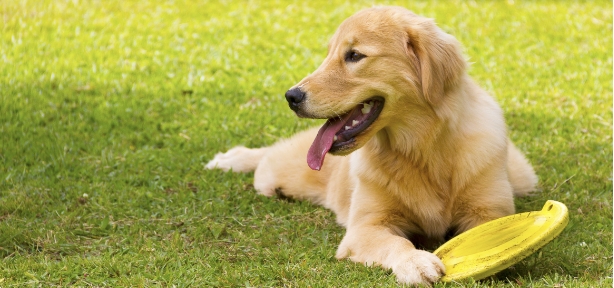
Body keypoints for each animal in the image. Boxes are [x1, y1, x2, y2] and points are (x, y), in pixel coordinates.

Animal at [207, 6, 540, 286]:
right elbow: (397, 241)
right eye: (329, 54)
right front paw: (415, 262)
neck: (420, 149)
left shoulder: (488, 212)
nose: (291, 97)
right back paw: (231, 159)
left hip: (523, 178)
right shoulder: (366, 227)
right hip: (279, 174)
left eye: (354, 55)